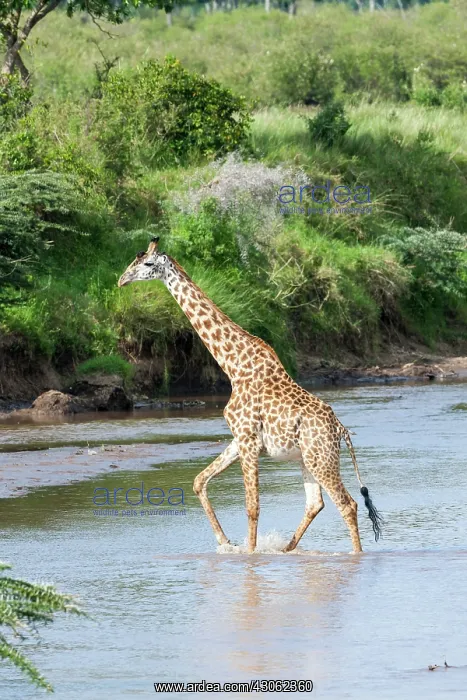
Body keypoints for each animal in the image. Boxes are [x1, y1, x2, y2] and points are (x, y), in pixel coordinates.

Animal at [118, 237, 383, 553]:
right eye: (133, 261)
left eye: (146, 263)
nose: (121, 280)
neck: (233, 365)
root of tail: (340, 429)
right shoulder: (240, 438)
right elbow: (199, 481)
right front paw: (226, 543)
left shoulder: (248, 440)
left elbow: (252, 506)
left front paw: (250, 555)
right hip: (307, 458)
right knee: (315, 503)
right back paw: (287, 549)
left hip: (321, 457)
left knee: (347, 504)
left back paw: (355, 556)